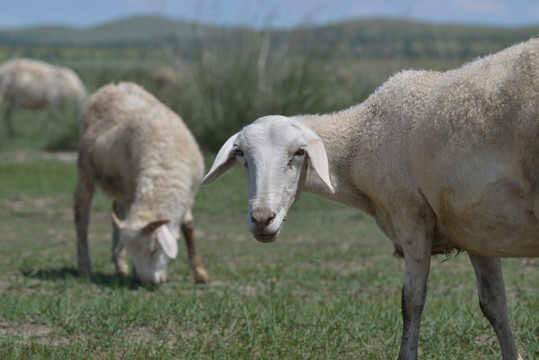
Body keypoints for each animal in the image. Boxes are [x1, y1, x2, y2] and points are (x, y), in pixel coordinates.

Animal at [75, 81, 210, 284]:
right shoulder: (132, 188)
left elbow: (188, 227)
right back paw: (85, 266)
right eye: (134, 253)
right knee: (81, 215)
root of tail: (113, 86)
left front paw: (200, 272)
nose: (149, 283)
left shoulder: (188, 195)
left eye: (153, 249)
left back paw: (120, 266)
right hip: (85, 169)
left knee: (116, 213)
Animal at [200, 38, 536, 358]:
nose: (261, 219)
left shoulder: (409, 213)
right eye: (241, 156)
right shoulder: (476, 228)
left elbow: (412, 301)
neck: (361, 139)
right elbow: (493, 303)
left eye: (299, 152)